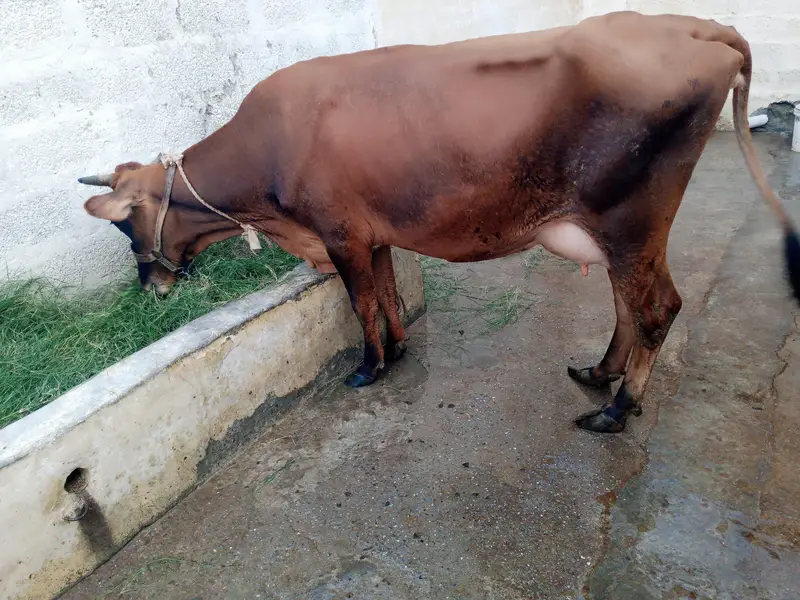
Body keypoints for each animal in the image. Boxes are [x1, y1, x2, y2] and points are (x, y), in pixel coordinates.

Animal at [78, 11, 799, 434]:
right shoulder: (370, 234)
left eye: (125, 227)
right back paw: (600, 375)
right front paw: (398, 351)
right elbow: (389, 294)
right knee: (629, 305)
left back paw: (617, 411)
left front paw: (368, 368)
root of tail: (695, 26)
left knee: (655, 308)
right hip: (625, 228)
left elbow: (362, 305)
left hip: (632, 218)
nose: (150, 287)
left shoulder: (339, 233)